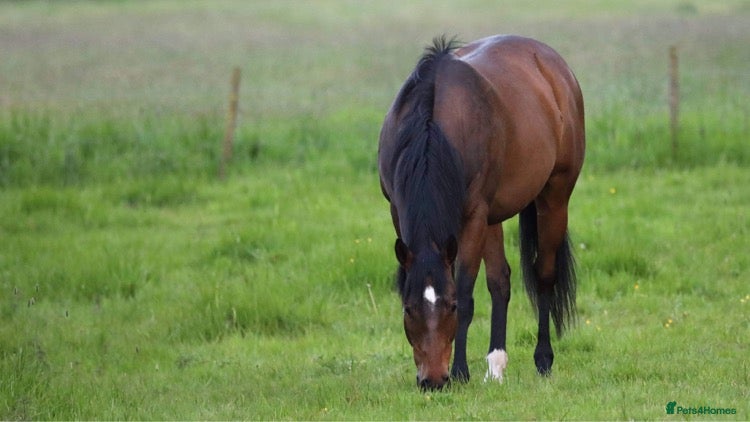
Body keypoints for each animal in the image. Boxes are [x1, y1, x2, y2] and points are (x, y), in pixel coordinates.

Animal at [378, 34, 585, 390]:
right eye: (408, 309)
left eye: (450, 307)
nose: (433, 380)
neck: (432, 126)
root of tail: (555, 67)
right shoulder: (397, 210)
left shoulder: (473, 216)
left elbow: (466, 291)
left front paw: (460, 371)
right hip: (494, 217)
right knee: (500, 280)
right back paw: (496, 365)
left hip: (554, 196)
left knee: (544, 274)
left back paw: (543, 359)